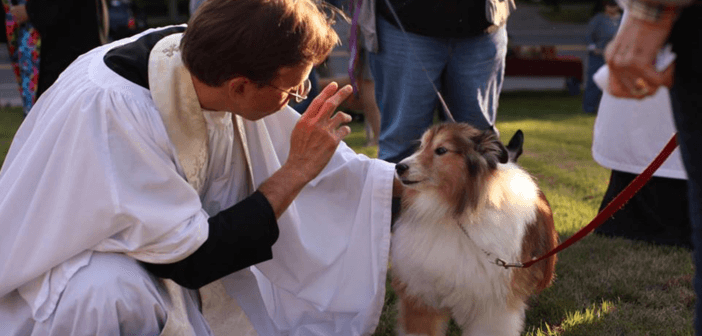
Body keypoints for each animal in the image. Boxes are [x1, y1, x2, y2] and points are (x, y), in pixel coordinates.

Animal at [394, 123, 560, 336]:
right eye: (421, 146)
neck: (455, 213)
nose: (399, 167)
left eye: (441, 150)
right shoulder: (422, 295)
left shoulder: (493, 307)